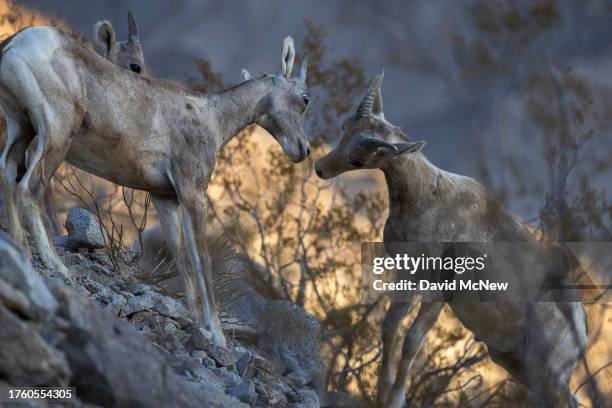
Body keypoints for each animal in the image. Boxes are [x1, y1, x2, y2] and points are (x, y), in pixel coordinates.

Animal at [0, 25, 308, 346]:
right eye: (305, 98)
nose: (304, 149)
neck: (212, 119)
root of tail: (17, 43)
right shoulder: (192, 193)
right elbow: (201, 260)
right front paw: (217, 335)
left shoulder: (164, 198)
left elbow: (182, 258)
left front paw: (194, 320)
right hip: (56, 135)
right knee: (30, 187)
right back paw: (56, 265)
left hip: (21, 127)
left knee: (7, 173)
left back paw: (22, 255)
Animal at [316, 74, 588, 408]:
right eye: (344, 128)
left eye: (358, 158)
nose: (320, 168)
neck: (430, 195)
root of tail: (580, 335)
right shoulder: (408, 275)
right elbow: (391, 326)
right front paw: (382, 394)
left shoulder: (438, 291)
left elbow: (412, 341)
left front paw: (395, 400)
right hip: (511, 360)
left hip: (547, 373)